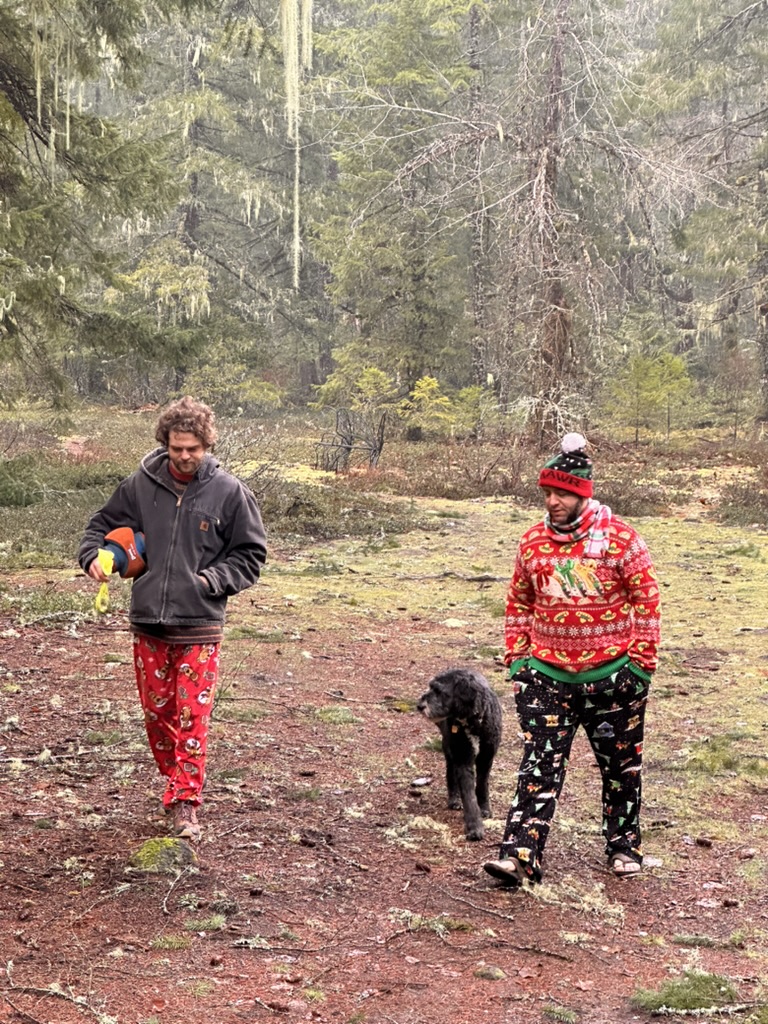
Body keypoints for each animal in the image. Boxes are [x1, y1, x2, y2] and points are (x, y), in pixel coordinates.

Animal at [417, 668, 502, 841]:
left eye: (439, 691)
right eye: (431, 687)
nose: (419, 705)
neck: (473, 723)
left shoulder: (486, 758)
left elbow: (482, 785)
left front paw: (485, 809)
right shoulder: (463, 759)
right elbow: (469, 795)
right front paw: (474, 827)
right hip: (450, 752)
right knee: (451, 775)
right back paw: (454, 799)